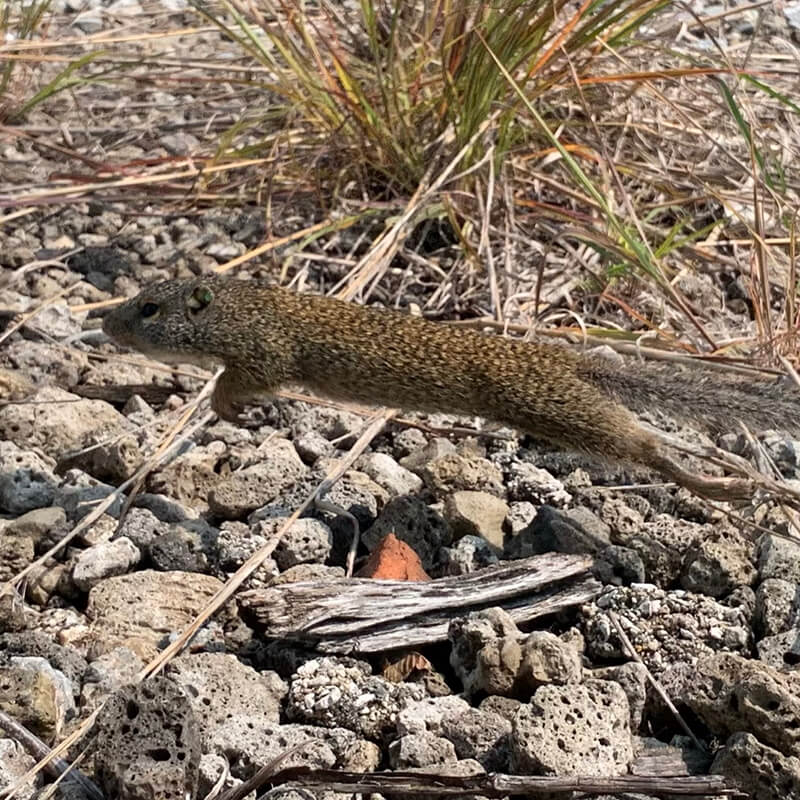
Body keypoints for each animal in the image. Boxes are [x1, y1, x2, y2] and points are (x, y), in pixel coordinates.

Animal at [102, 276, 800, 500]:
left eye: (147, 308)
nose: (105, 324)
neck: (243, 306)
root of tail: (560, 359)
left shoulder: (265, 353)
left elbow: (242, 377)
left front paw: (223, 403)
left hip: (555, 409)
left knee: (647, 446)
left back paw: (728, 486)